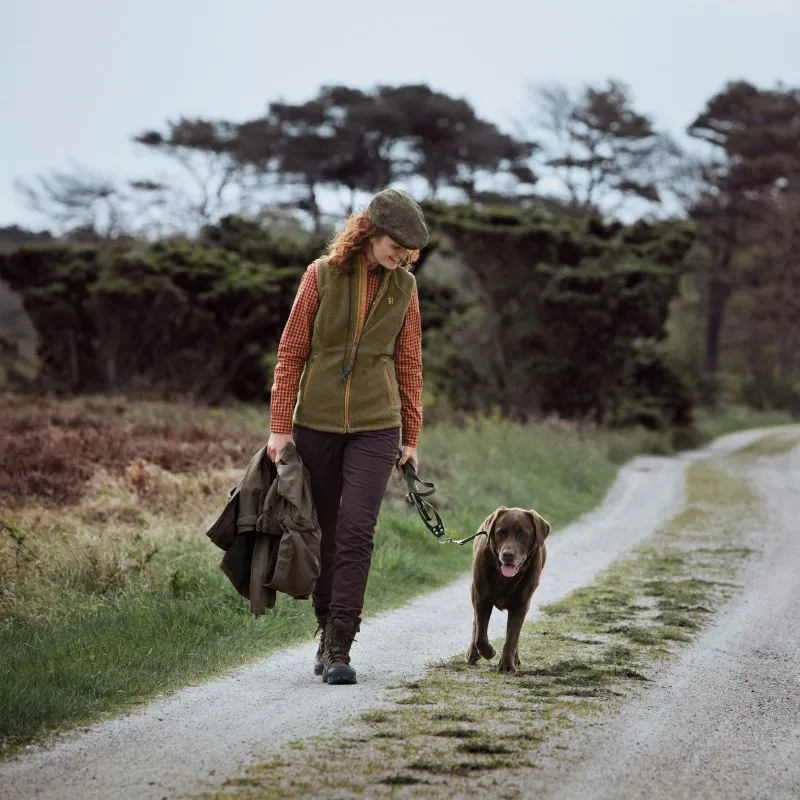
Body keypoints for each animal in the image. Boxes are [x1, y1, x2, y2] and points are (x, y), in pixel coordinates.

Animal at [468, 510, 552, 672]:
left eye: (523, 534)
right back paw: (472, 654)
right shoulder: (481, 598)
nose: (507, 554)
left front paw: (507, 665)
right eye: (501, 532)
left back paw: (515, 658)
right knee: (475, 625)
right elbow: (480, 635)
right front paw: (489, 652)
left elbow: (512, 635)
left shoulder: (521, 604)